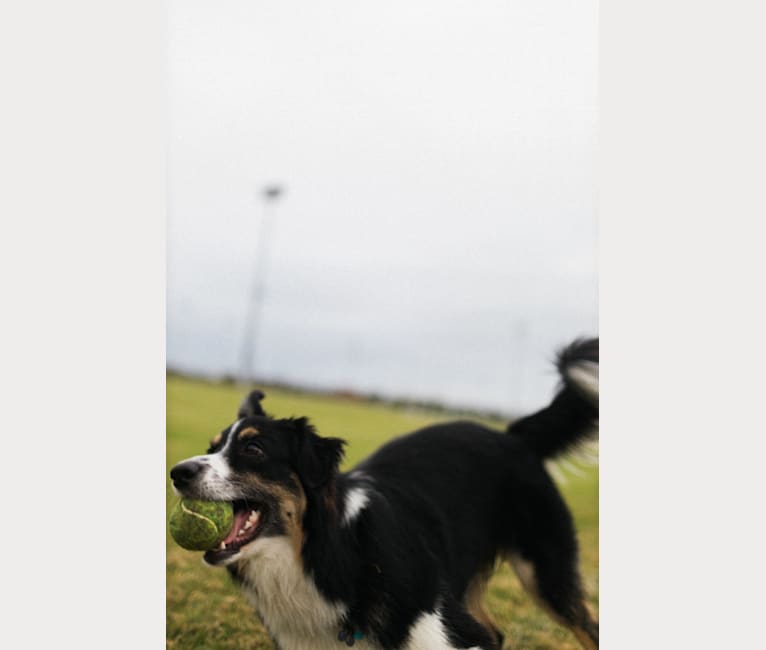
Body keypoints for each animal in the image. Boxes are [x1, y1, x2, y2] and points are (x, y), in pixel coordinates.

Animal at [170, 336, 600, 644]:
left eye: (254, 449)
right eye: (213, 448)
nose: (177, 472)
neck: (324, 557)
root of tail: (512, 436)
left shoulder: (449, 630)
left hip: (546, 571)